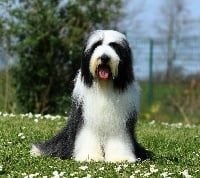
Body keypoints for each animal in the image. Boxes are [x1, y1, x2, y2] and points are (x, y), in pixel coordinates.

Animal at [30, 29, 151, 162]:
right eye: (96, 45)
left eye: (114, 47)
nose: (104, 57)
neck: (104, 85)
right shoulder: (86, 117)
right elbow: (88, 136)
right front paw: (90, 157)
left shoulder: (119, 123)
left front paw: (120, 158)